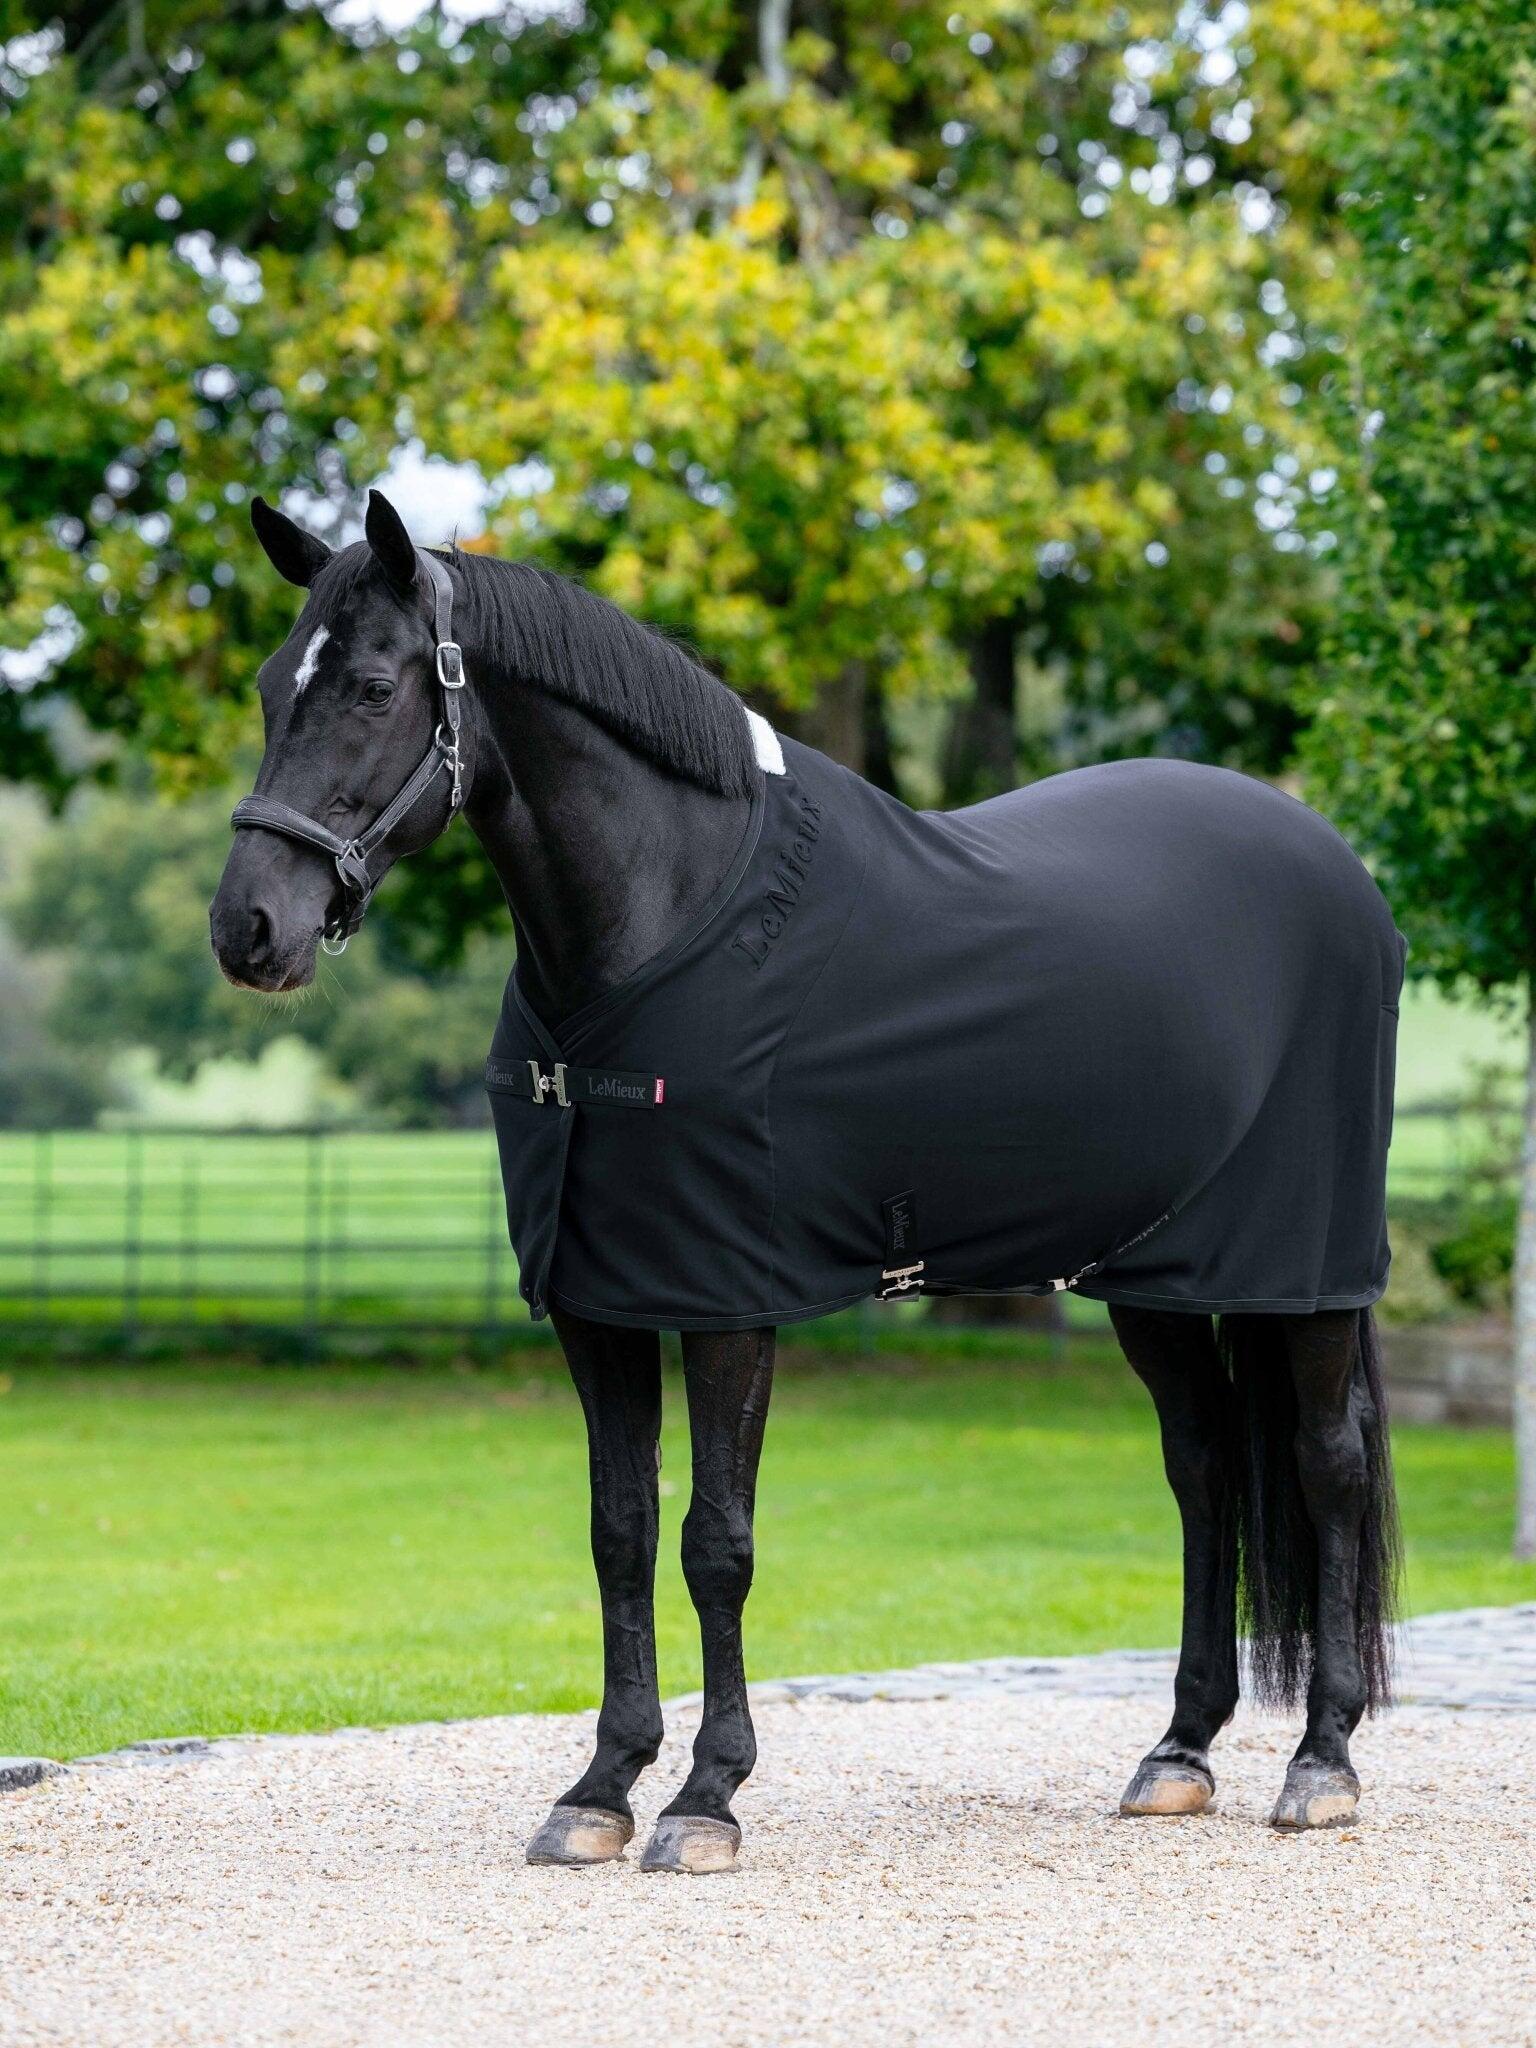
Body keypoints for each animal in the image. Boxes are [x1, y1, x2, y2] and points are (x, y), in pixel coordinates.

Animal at [210, 489, 1401, 1874]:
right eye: (266, 685)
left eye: (370, 685)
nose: (248, 930)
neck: (664, 923)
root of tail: (1338, 868)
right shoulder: (599, 1302)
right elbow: (620, 1531)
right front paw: (600, 1785)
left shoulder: (730, 1298)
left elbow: (713, 1541)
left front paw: (705, 1796)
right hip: (1149, 1273)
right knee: (1204, 1464)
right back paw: (1179, 1749)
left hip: (1303, 1275)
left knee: (1327, 1464)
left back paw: (1323, 1761)